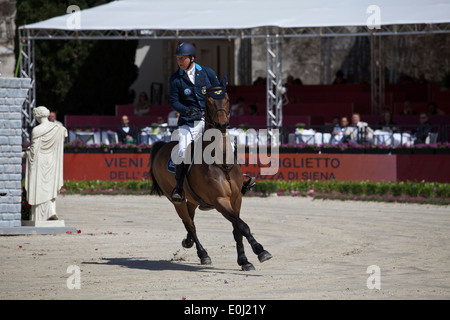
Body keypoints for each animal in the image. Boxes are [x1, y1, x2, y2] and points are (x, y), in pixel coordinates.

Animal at [150, 74, 270, 270]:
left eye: (227, 99)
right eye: (209, 101)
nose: (222, 124)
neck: (221, 161)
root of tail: (161, 147)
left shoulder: (236, 198)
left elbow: (237, 229)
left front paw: (244, 261)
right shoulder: (220, 200)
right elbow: (242, 226)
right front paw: (260, 250)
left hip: (192, 199)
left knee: (190, 220)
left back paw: (188, 242)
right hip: (176, 200)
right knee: (190, 224)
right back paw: (203, 254)